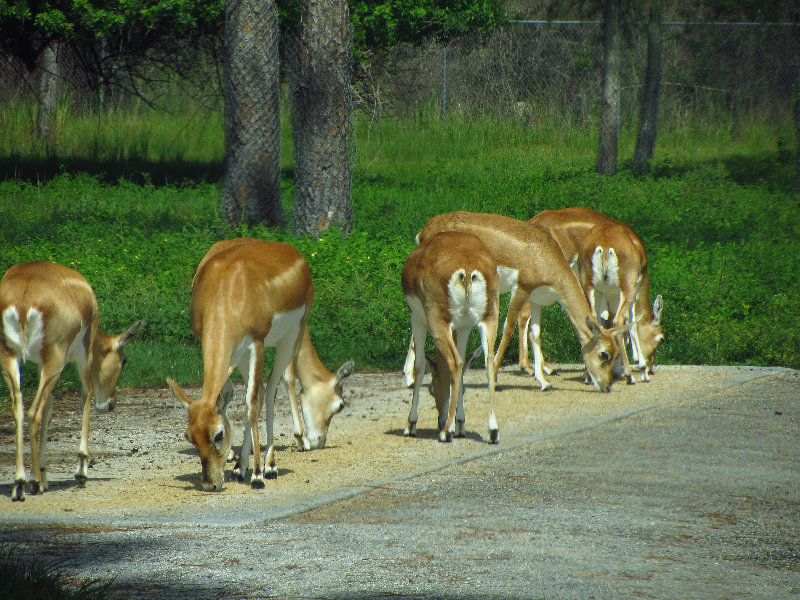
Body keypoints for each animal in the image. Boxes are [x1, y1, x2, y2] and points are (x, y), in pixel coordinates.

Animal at [0, 262, 142, 502]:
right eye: (123, 360)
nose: (111, 404)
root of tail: (24, 299)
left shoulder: (40, 363)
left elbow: (49, 408)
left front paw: (44, 475)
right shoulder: (85, 355)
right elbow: (86, 395)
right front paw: (81, 472)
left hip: (10, 358)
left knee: (19, 408)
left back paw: (20, 483)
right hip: (56, 361)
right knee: (34, 412)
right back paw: (33, 483)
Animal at [167, 239, 352, 492]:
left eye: (219, 434)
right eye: (189, 436)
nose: (209, 484)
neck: (227, 291)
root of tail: (293, 252)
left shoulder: (258, 344)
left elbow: (255, 402)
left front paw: (257, 475)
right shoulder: (227, 348)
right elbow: (240, 400)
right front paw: (242, 467)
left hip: (289, 338)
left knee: (269, 389)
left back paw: (270, 466)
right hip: (244, 355)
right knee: (259, 392)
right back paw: (241, 467)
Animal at [400, 232, 500, 442]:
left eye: (431, 389)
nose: (439, 420)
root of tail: (468, 268)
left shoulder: (417, 318)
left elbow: (419, 366)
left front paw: (411, 425)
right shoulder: (464, 326)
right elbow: (463, 368)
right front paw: (461, 423)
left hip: (437, 323)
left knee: (454, 362)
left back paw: (446, 431)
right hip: (489, 319)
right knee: (489, 363)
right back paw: (492, 431)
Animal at [406, 212, 632, 394]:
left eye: (616, 353)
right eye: (604, 354)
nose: (607, 386)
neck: (542, 254)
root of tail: (425, 231)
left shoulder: (535, 298)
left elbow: (535, 332)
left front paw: (544, 381)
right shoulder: (521, 290)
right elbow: (508, 329)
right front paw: (495, 379)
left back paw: (411, 378)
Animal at [520, 209, 664, 382]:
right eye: (661, 339)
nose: (651, 368)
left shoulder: (606, 294)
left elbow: (605, 323)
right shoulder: (630, 292)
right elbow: (630, 323)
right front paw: (637, 367)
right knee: (524, 315)